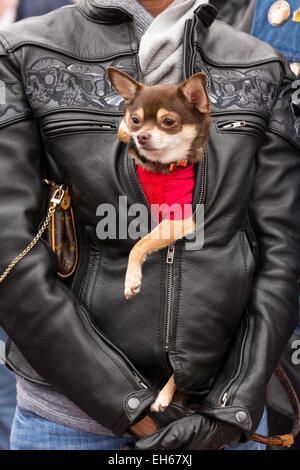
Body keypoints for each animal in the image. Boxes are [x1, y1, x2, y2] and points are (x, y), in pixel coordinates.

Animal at [107, 68, 211, 414]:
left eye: (168, 122)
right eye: (137, 119)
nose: (142, 135)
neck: (161, 168)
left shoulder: (180, 219)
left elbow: (138, 245)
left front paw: (132, 279)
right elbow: (120, 131)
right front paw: (125, 131)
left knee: (184, 370)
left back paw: (164, 396)